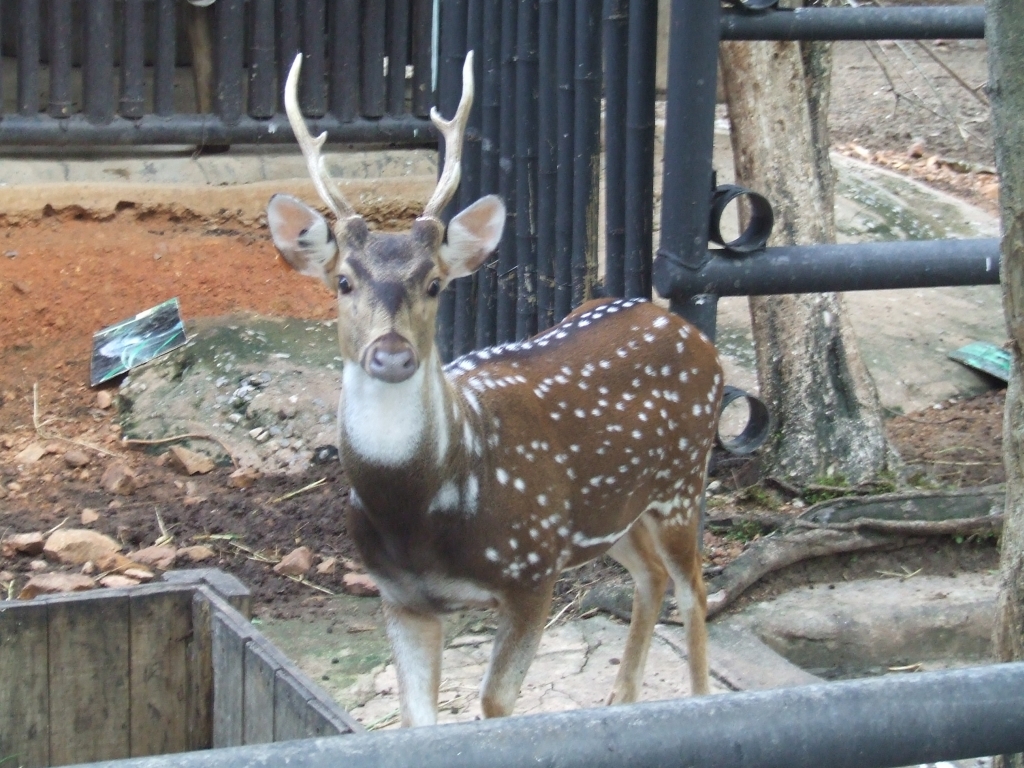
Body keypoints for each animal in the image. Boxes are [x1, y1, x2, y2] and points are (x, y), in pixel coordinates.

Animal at [266, 51, 723, 727]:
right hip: (615, 512)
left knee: (695, 589)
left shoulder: (532, 569)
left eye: (434, 283)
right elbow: (416, 719)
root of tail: (690, 331)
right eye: (344, 281)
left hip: (682, 484)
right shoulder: (399, 596)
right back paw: (622, 701)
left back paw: (696, 700)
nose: (392, 353)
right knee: (652, 578)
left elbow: (495, 703)